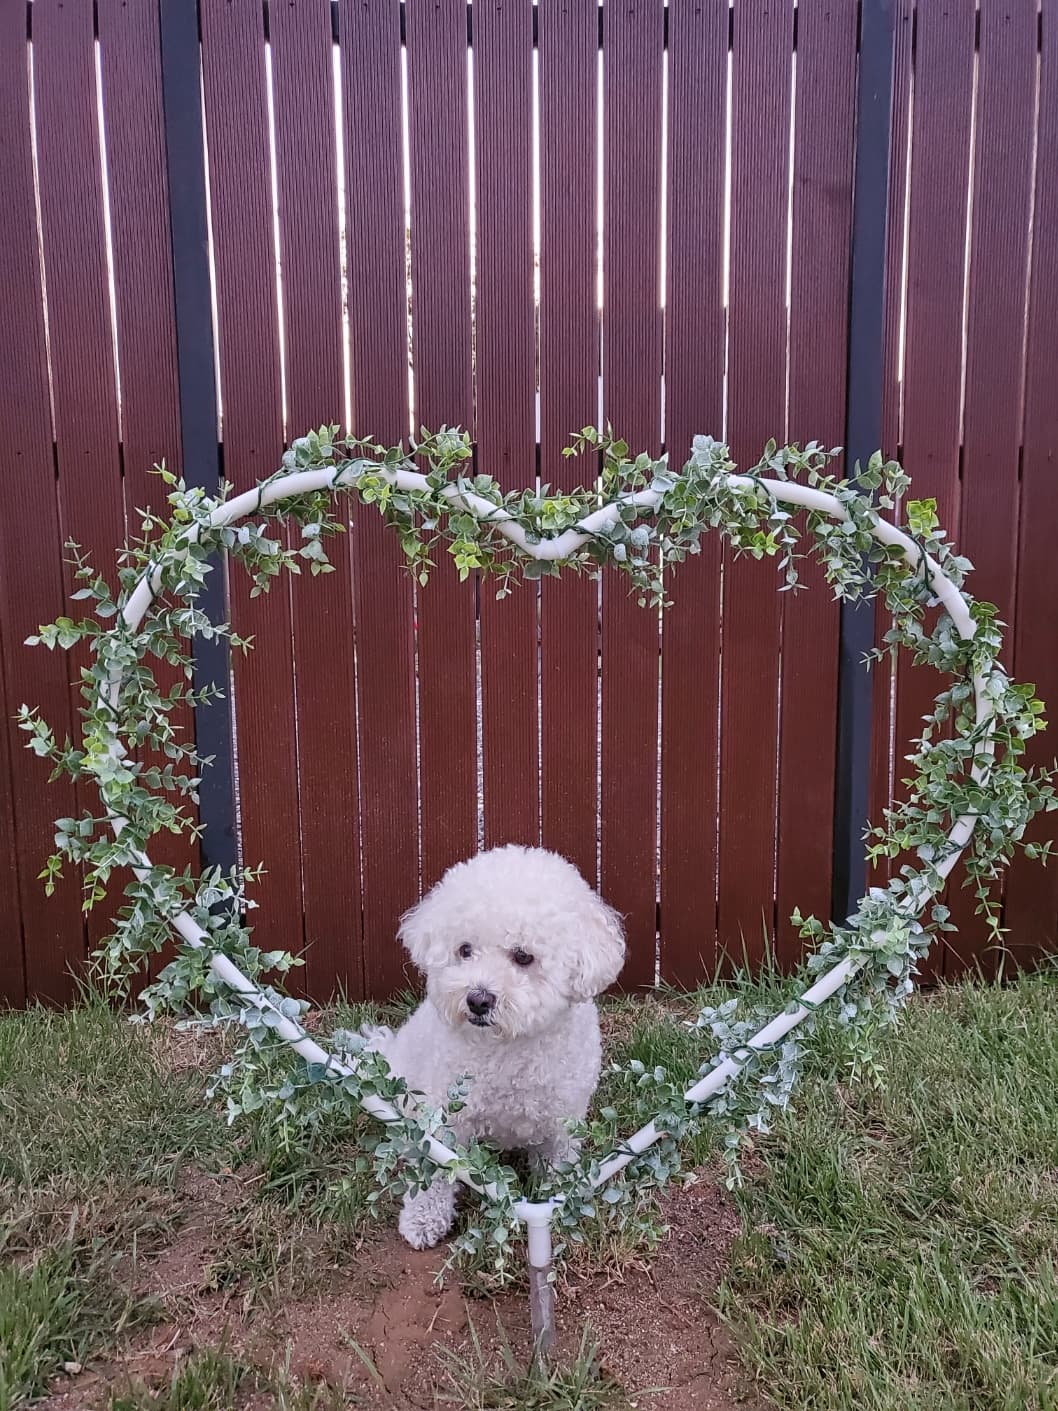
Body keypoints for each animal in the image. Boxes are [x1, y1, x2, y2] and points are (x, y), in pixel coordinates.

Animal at [366, 840, 626, 1241]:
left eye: (523, 956)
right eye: (464, 950)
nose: (478, 999)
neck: (508, 1048)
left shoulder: (563, 1121)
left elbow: (558, 1166)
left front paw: (559, 1209)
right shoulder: (446, 1119)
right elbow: (435, 1174)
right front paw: (422, 1219)